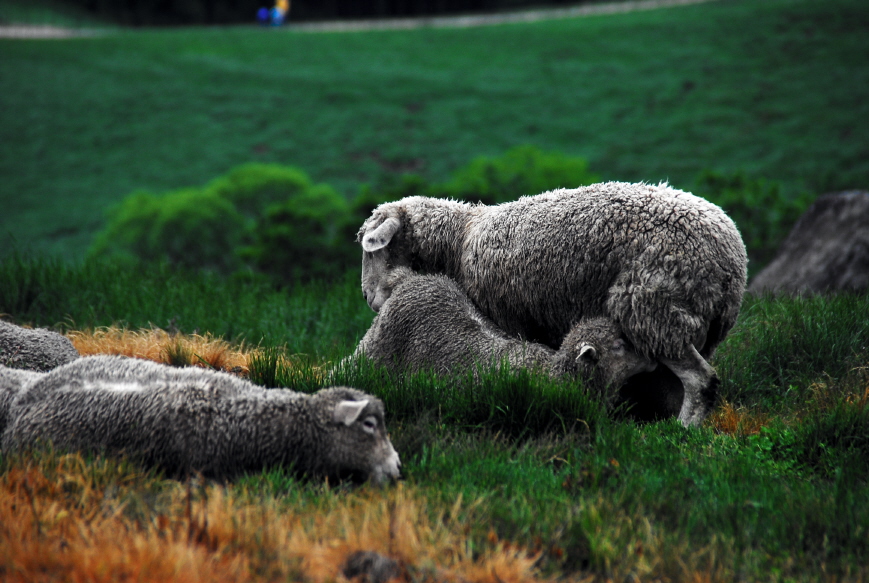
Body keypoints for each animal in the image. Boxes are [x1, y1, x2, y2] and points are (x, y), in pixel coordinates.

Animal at [358, 180, 744, 426]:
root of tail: (730, 256)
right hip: (694, 324)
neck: (460, 240)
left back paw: (682, 432)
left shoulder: (508, 317)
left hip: (655, 308)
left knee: (701, 381)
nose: (367, 299)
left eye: (373, 250)